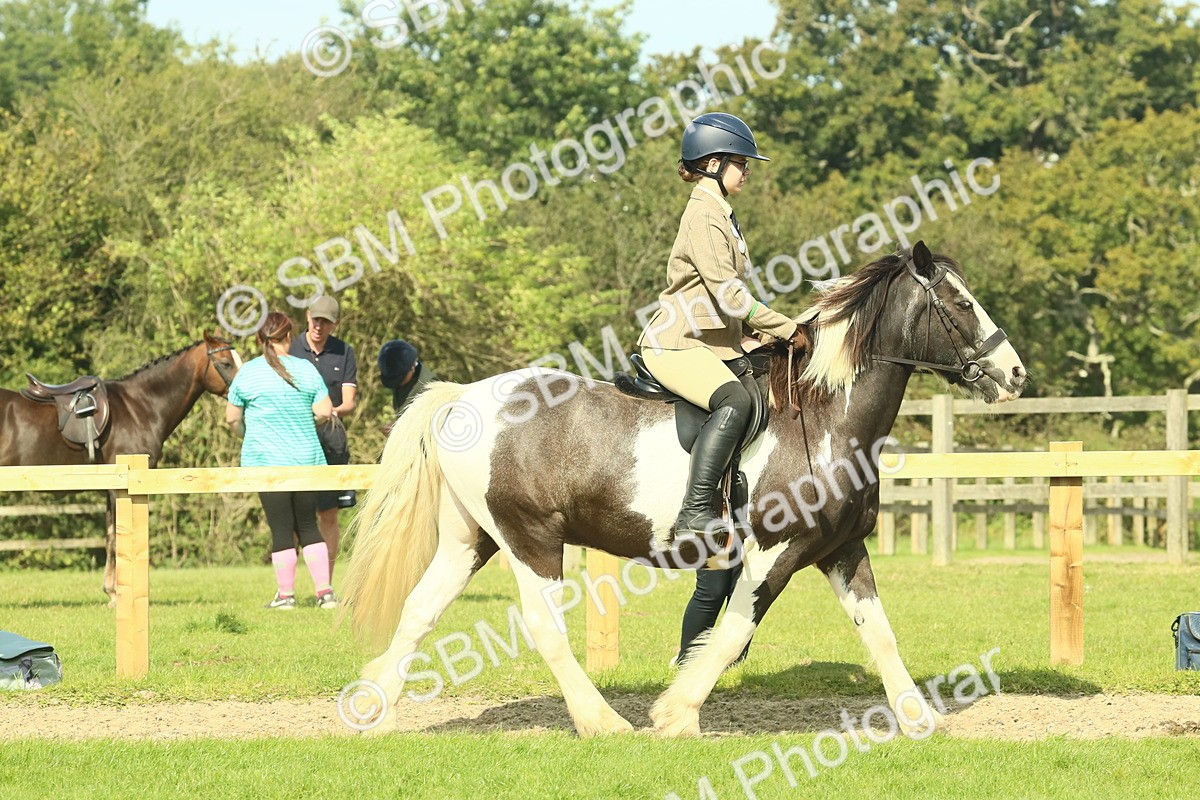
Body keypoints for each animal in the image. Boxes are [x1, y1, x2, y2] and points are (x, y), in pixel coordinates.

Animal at [0, 333, 242, 603]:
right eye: (226, 363)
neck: (141, 406)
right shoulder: (121, 488)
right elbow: (118, 537)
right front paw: (118, 595)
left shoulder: (110, 488)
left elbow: (109, 536)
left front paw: (111, 590)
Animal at [341, 242, 1028, 737]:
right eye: (960, 303)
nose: (1015, 373)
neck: (827, 417)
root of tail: (463, 399)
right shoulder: (774, 552)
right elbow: (733, 632)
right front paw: (676, 715)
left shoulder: (840, 549)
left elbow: (878, 632)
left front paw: (918, 718)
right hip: (530, 538)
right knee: (543, 626)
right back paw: (603, 723)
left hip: (471, 539)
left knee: (421, 609)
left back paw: (376, 709)